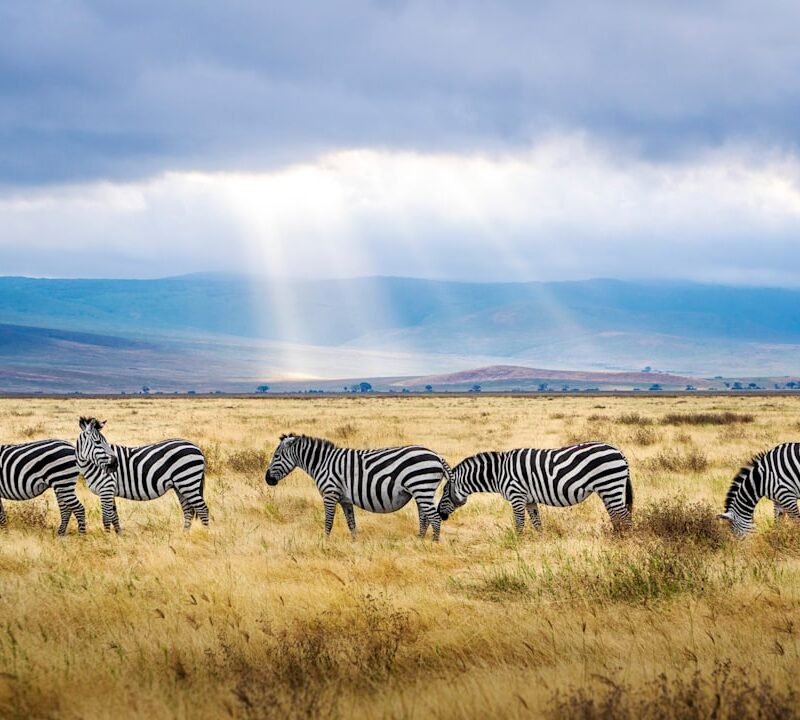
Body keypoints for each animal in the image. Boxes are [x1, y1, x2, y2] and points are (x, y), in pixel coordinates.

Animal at [76, 417, 209, 532]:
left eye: (104, 442)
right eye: (98, 442)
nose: (114, 464)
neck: (92, 465)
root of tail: (196, 447)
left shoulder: (106, 488)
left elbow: (106, 517)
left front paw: (107, 538)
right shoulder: (109, 491)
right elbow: (114, 517)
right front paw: (119, 536)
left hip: (188, 482)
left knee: (203, 509)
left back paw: (205, 533)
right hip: (180, 486)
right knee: (188, 511)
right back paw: (184, 535)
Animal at [264, 433, 453, 540]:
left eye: (276, 456)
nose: (267, 479)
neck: (322, 463)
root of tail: (436, 456)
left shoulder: (330, 494)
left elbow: (328, 521)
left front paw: (325, 542)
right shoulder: (345, 499)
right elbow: (351, 522)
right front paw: (354, 543)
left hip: (421, 487)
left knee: (434, 518)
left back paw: (433, 544)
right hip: (421, 491)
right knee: (424, 517)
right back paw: (419, 540)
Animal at [437, 442, 633, 533]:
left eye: (445, 492)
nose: (440, 513)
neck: (498, 473)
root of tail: (619, 451)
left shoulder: (517, 496)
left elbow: (519, 524)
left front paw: (517, 544)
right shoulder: (529, 500)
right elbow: (537, 523)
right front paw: (540, 544)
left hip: (610, 485)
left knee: (624, 516)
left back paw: (626, 541)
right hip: (608, 489)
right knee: (616, 515)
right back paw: (616, 537)